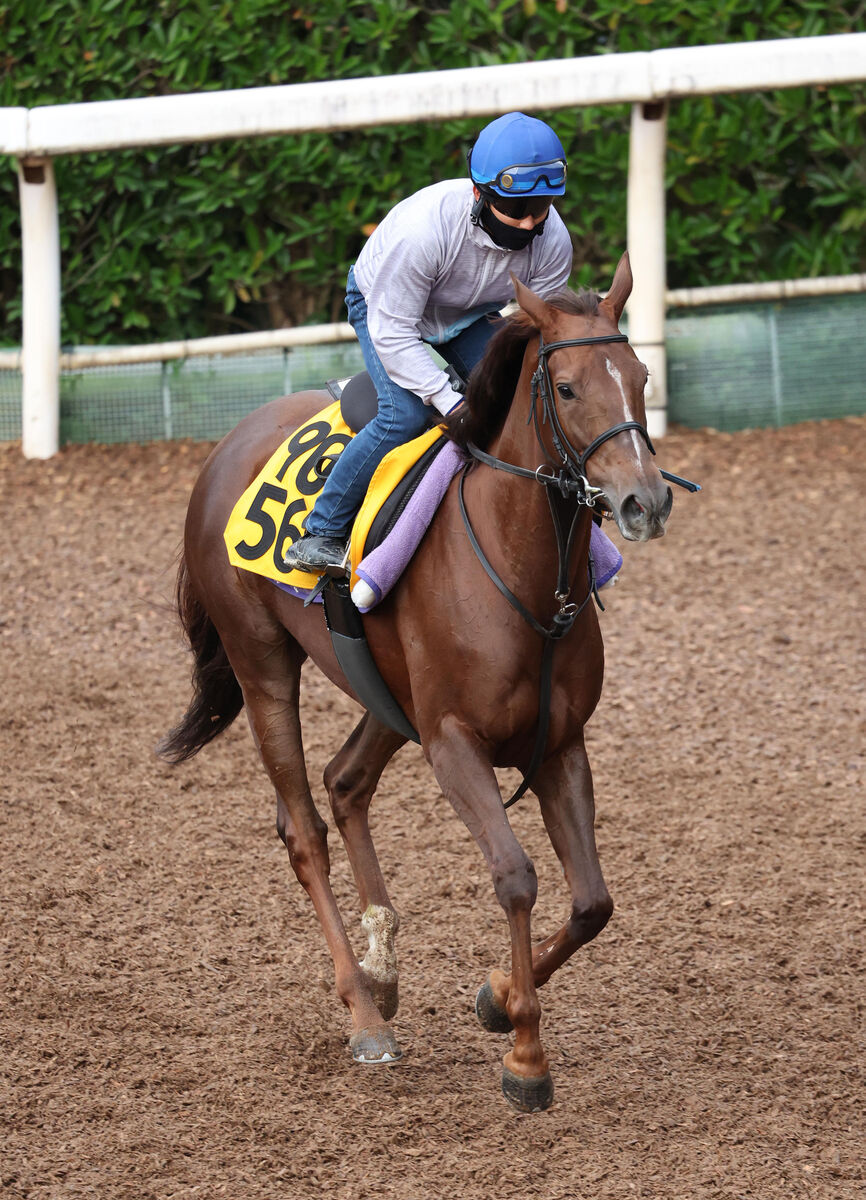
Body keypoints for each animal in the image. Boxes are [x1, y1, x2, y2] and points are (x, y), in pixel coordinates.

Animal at [161, 253, 676, 1113]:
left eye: (640, 376)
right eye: (568, 388)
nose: (646, 499)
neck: (522, 572)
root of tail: (227, 446)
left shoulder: (559, 744)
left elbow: (592, 902)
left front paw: (498, 997)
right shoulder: (453, 743)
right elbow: (515, 878)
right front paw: (526, 1056)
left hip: (386, 691)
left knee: (345, 782)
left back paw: (382, 966)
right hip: (263, 662)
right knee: (304, 829)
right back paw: (365, 1014)